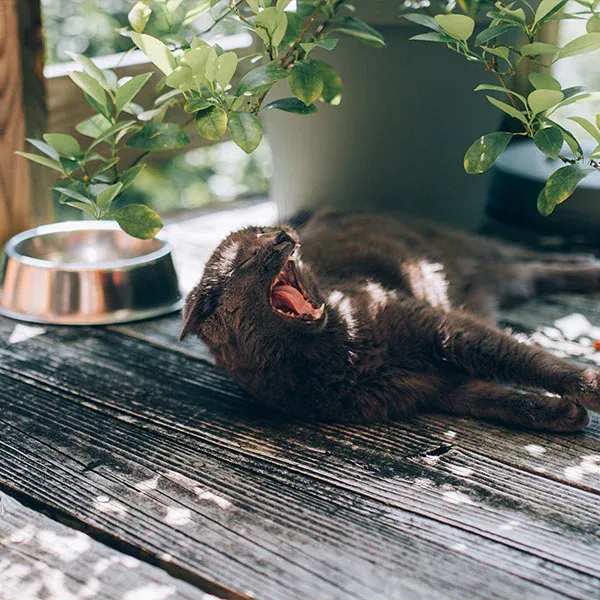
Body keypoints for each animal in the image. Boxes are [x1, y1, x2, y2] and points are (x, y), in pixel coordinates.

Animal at [180, 211, 600, 432]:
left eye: (266, 231)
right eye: (249, 257)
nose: (284, 235)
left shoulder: (447, 330)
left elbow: (531, 362)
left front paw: (588, 393)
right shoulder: (434, 388)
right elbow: (498, 401)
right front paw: (564, 413)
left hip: (485, 256)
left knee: (535, 260)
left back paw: (588, 265)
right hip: (507, 276)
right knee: (539, 272)